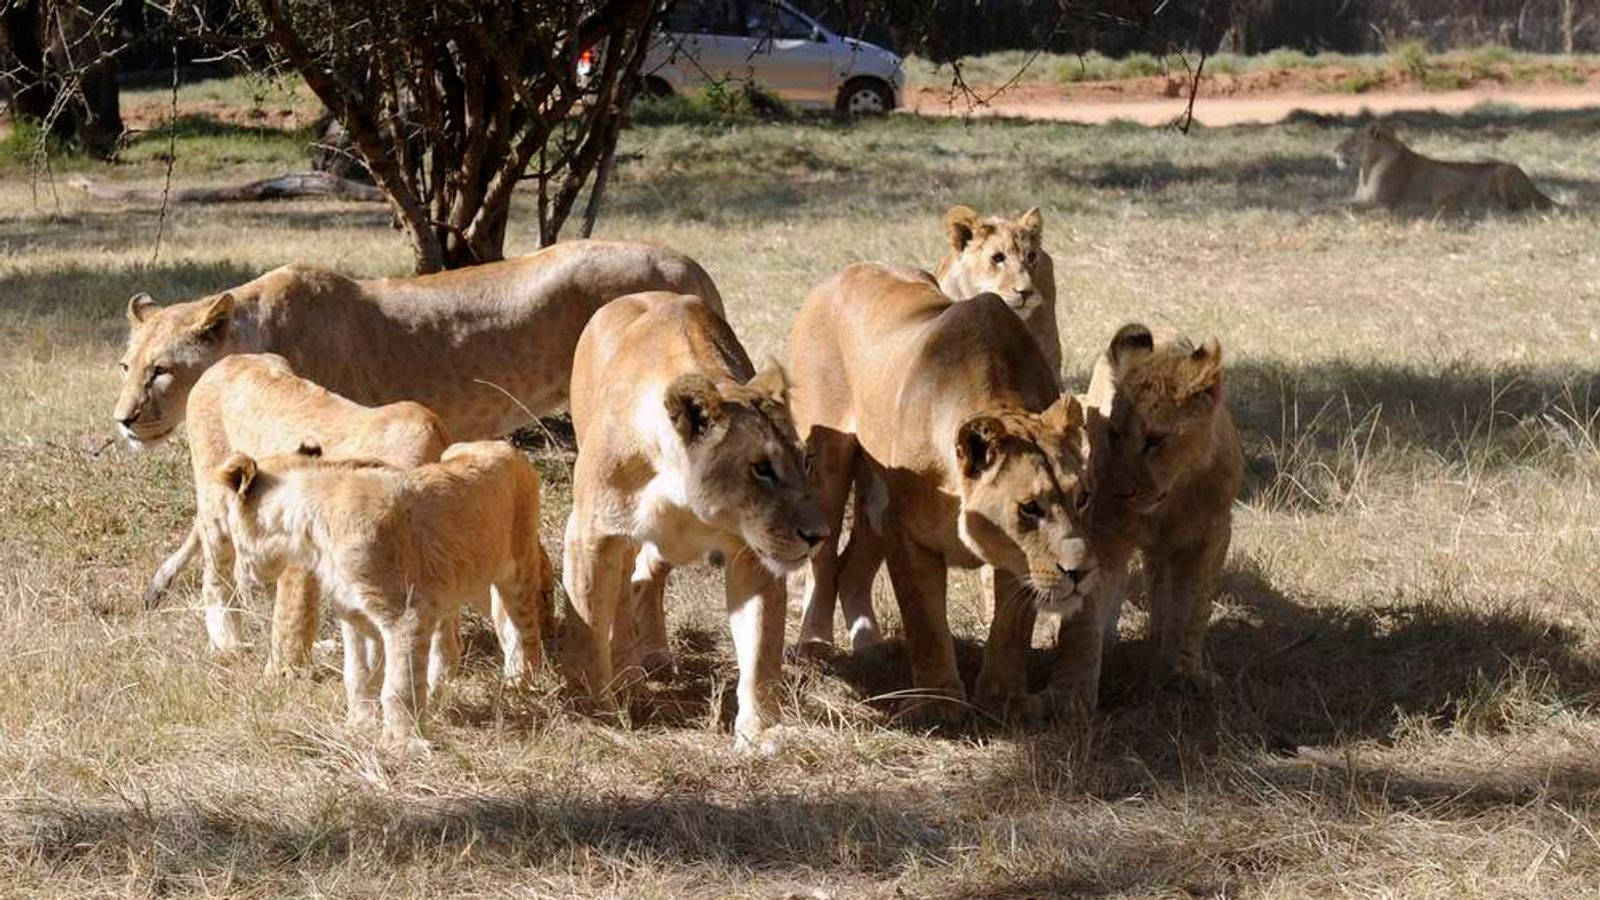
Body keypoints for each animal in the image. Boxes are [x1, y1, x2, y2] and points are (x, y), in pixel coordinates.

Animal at [1331, 121, 1555, 214]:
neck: (1366, 169)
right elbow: (1337, 201)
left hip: (1503, 170)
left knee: (1518, 206)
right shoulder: (1361, 198)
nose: (1334, 149)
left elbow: (1339, 205)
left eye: (1352, 138)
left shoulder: (1382, 203)